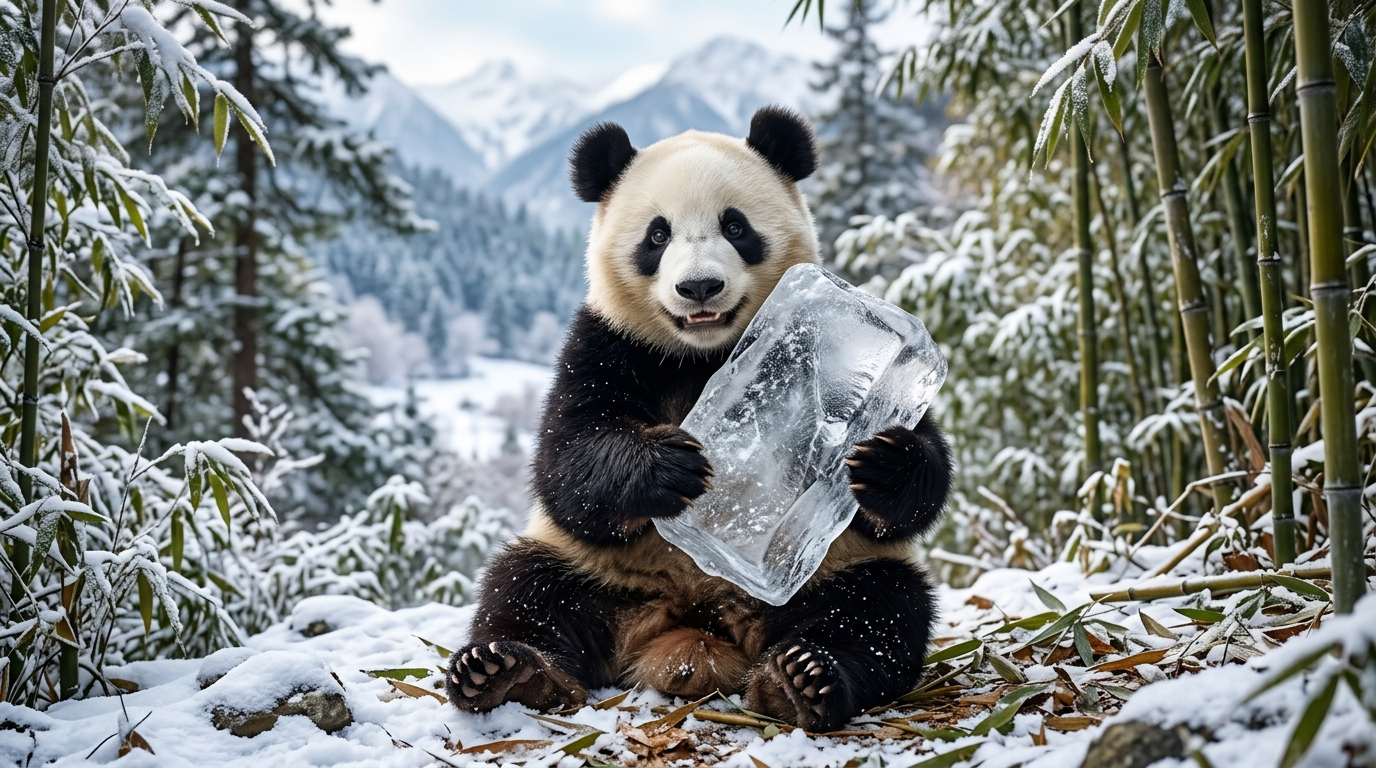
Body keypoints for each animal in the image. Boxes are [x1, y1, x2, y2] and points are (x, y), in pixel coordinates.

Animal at [445, 106, 953, 732]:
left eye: (735, 227)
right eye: (657, 235)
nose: (699, 287)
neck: (701, 354)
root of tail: (696, 627)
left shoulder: (844, 355)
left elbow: (915, 488)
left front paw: (881, 462)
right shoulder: (607, 342)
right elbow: (566, 463)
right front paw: (668, 466)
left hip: (828, 570)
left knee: (879, 606)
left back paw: (804, 678)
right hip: (596, 570)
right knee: (525, 589)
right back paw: (506, 672)